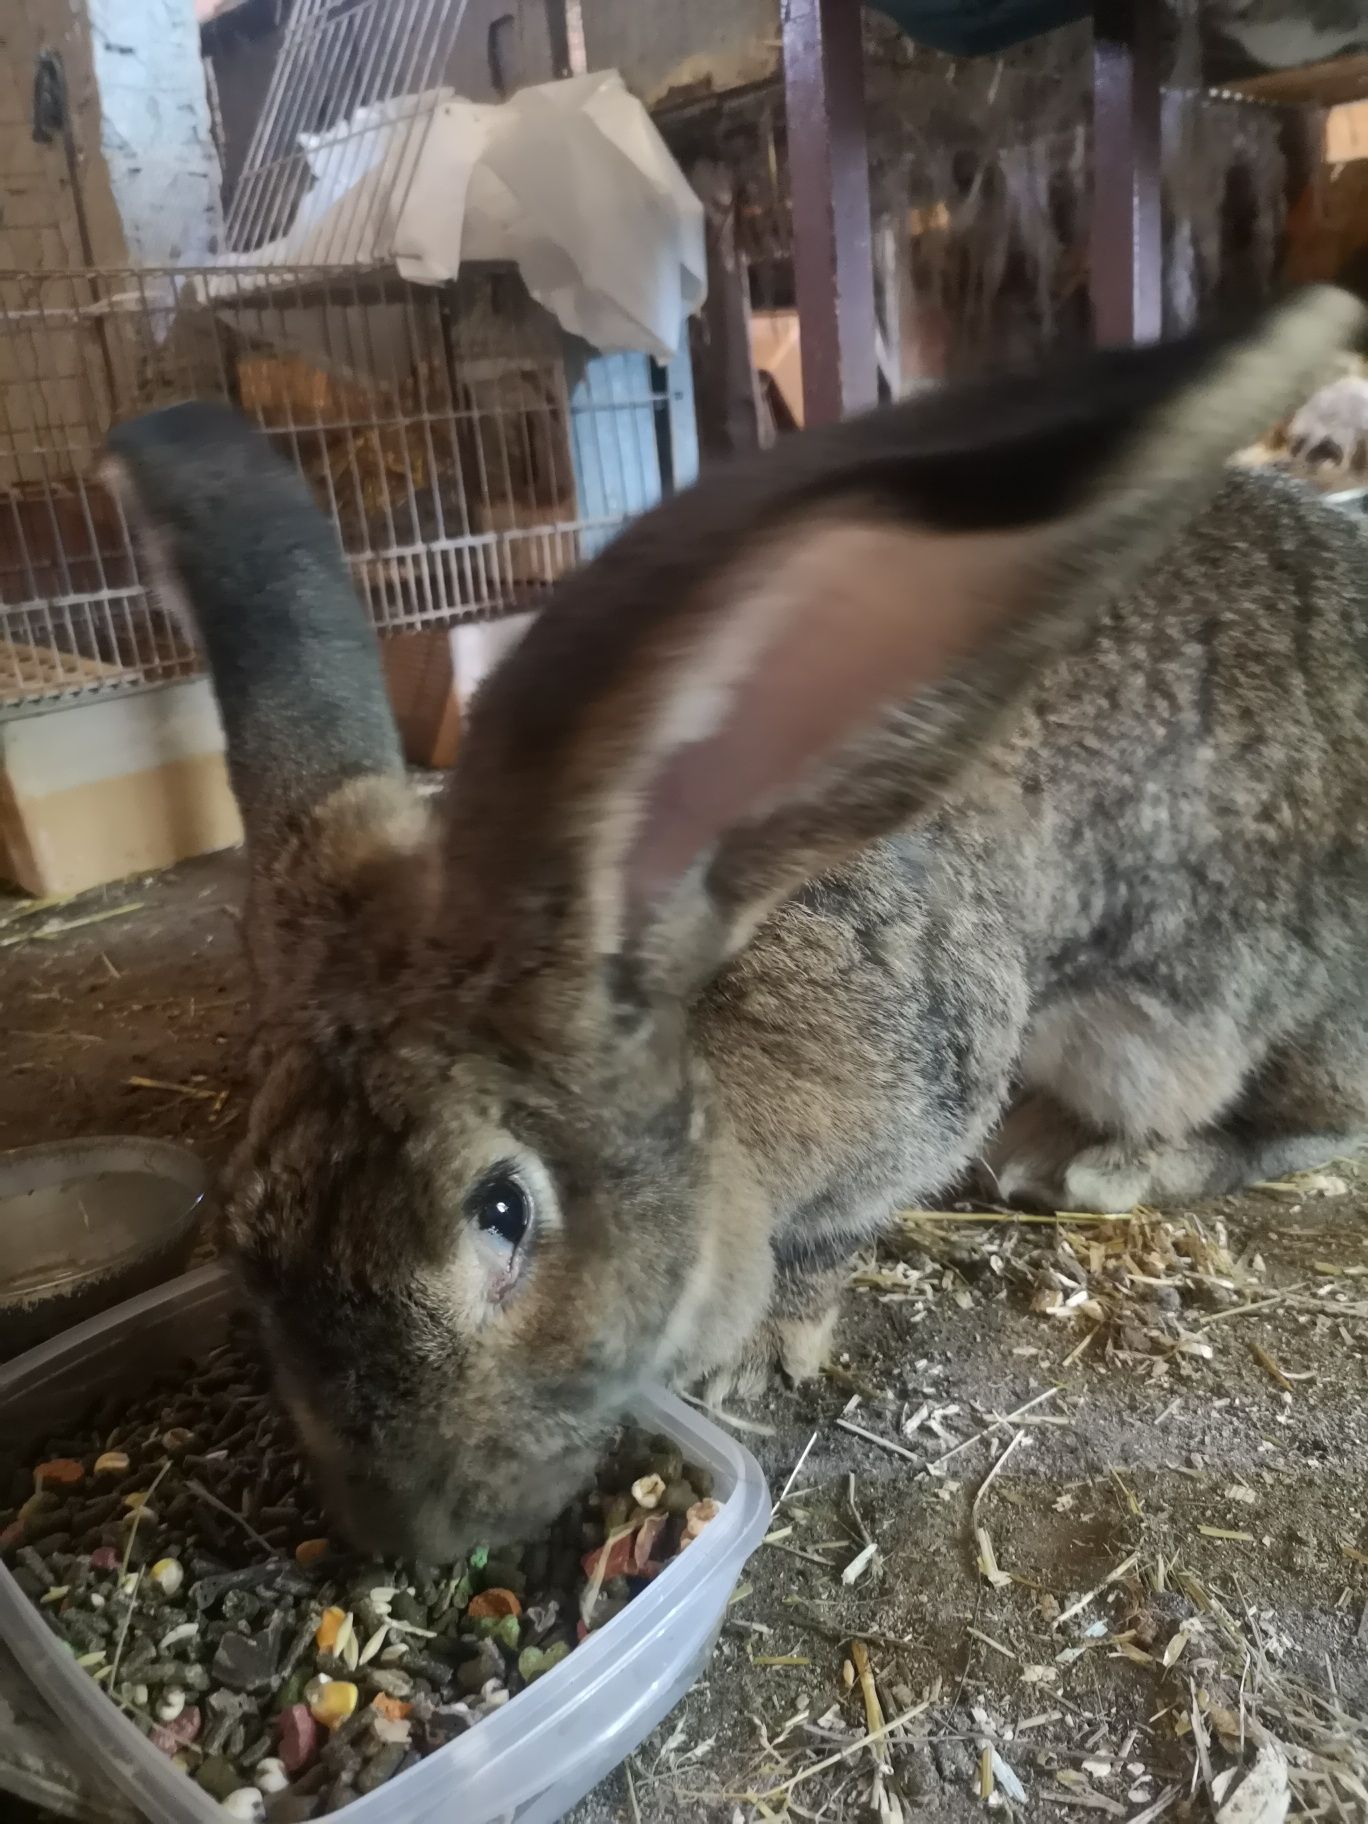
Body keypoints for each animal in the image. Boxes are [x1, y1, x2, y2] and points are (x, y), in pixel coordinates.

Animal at [107, 284, 1368, 1554]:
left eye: (503, 1210)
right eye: (241, 1226)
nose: (417, 1537)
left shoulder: (907, 1116)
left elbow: (819, 1246)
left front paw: (756, 1359)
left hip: (1241, 1028)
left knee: (1306, 1123)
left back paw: (1091, 1165)